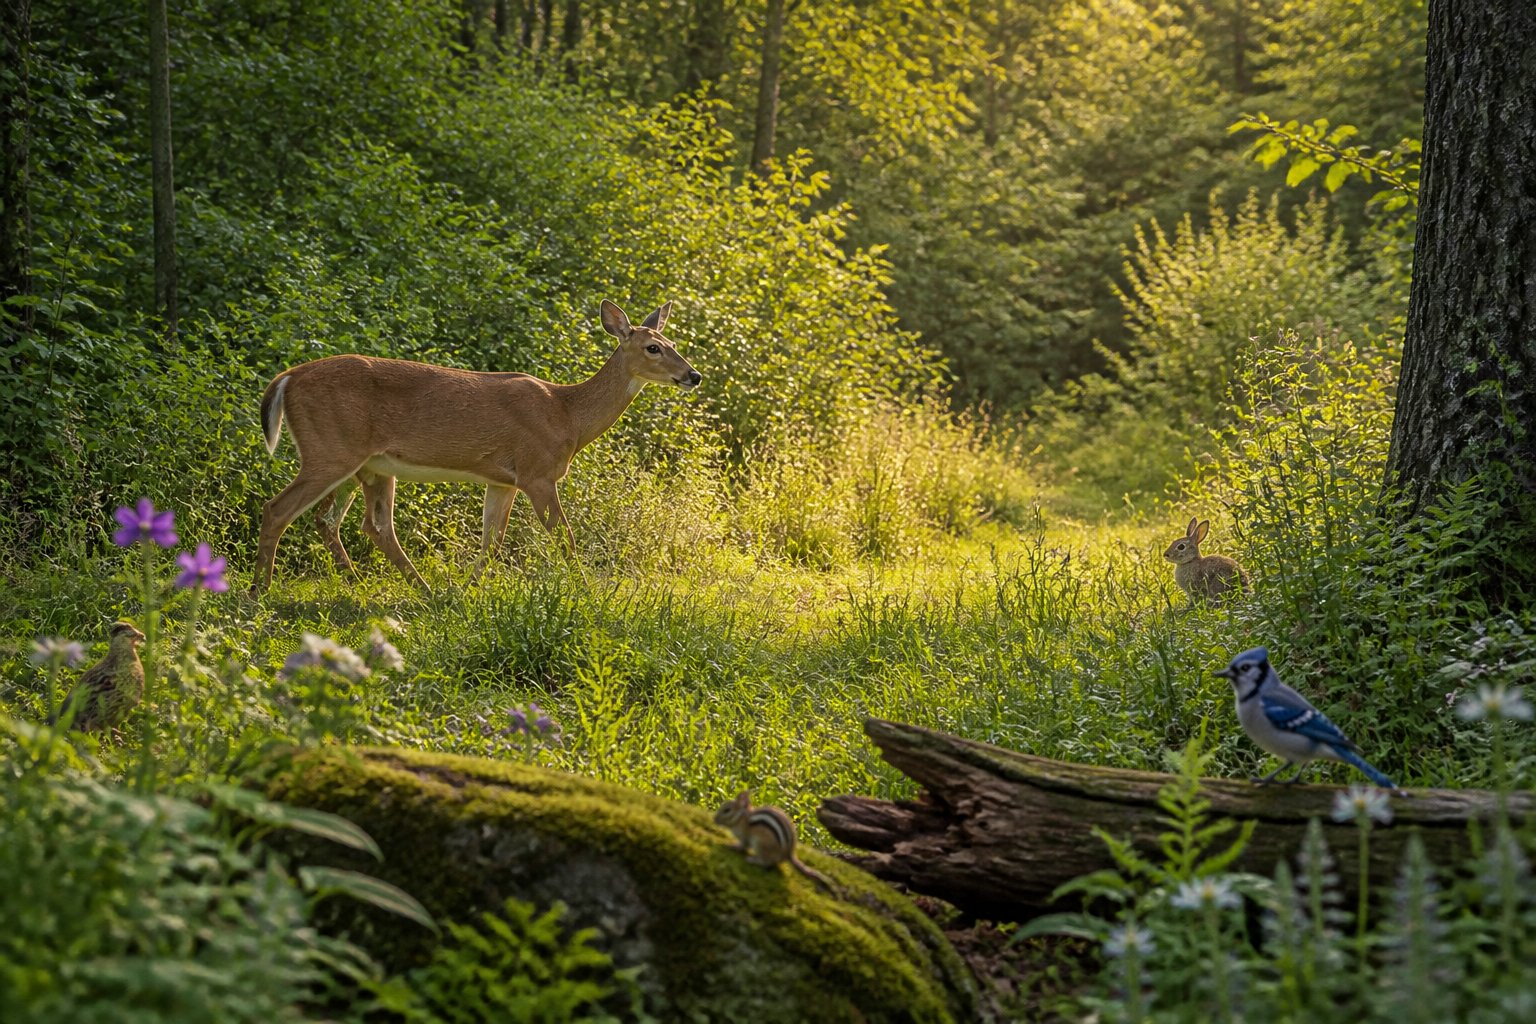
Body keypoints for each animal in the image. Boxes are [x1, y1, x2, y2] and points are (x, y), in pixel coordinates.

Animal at [251, 299, 700, 594]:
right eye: (653, 347)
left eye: (674, 342)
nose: (693, 375)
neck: (567, 415)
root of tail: (287, 378)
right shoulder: (537, 471)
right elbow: (565, 536)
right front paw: (587, 592)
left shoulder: (502, 480)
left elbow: (491, 541)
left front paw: (470, 590)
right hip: (330, 449)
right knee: (279, 509)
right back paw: (261, 591)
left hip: (369, 464)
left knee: (354, 523)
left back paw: (401, 588)